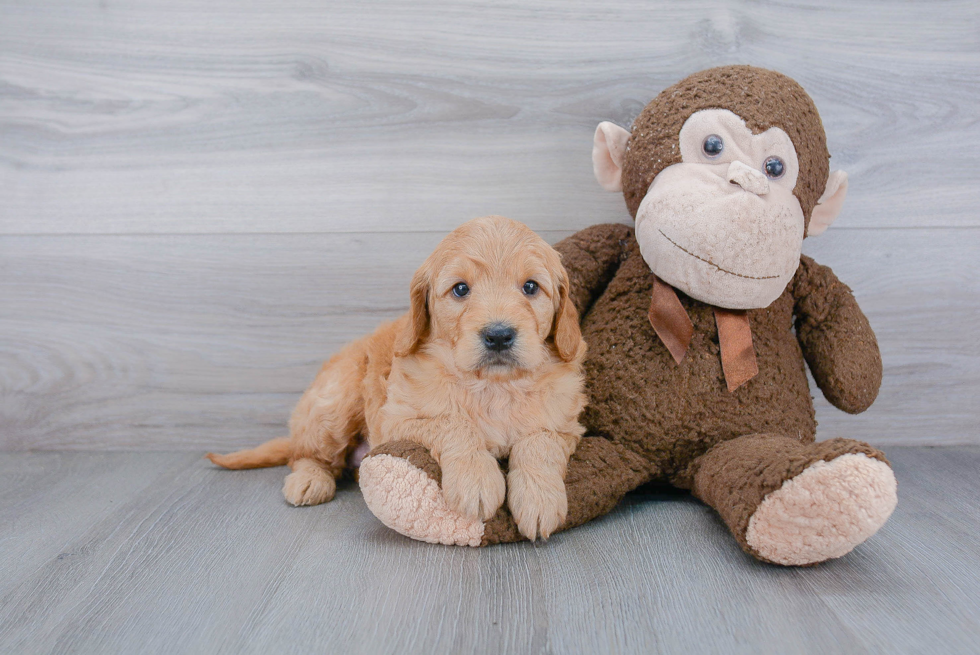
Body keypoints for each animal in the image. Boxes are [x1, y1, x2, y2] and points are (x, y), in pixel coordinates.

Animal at [208, 218, 584, 540]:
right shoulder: (396, 421)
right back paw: (309, 480)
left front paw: (539, 498)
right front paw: (476, 478)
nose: (499, 335)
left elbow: (539, 442)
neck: (492, 385)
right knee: (305, 455)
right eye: (460, 289)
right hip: (334, 402)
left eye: (531, 287)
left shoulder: (565, 426)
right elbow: (454, 424)